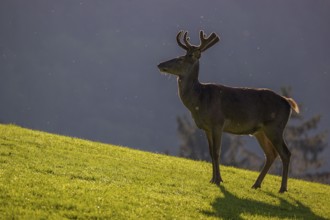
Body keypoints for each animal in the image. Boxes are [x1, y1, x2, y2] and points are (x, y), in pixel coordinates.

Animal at [157, 30, 300, 192]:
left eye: (181, 58)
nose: (160, 65)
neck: (199, 101)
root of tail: (288, 103)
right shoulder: (206, 127)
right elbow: (210, 152)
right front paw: (212, 179)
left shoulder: (218, 123)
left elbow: (217, 152)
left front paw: (218, 180)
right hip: (260, 131)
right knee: (271, 154)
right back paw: (256, 184)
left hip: (275, 127)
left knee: (286, 153)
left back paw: (282, 188)